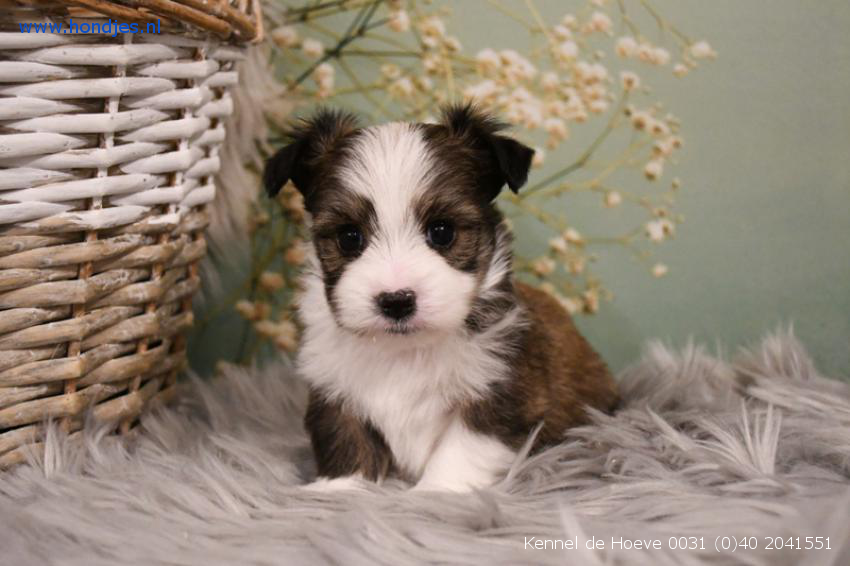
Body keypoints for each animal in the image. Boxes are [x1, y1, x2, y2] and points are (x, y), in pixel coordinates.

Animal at [264, 104, 618, 492]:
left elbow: (462, 448)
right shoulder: (333, 386)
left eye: (442, 232)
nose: (396, 301)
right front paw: (338, 490)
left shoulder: (500, 392)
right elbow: (344, 437)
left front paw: (435, 494)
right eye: (349, 237)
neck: (405, 352)